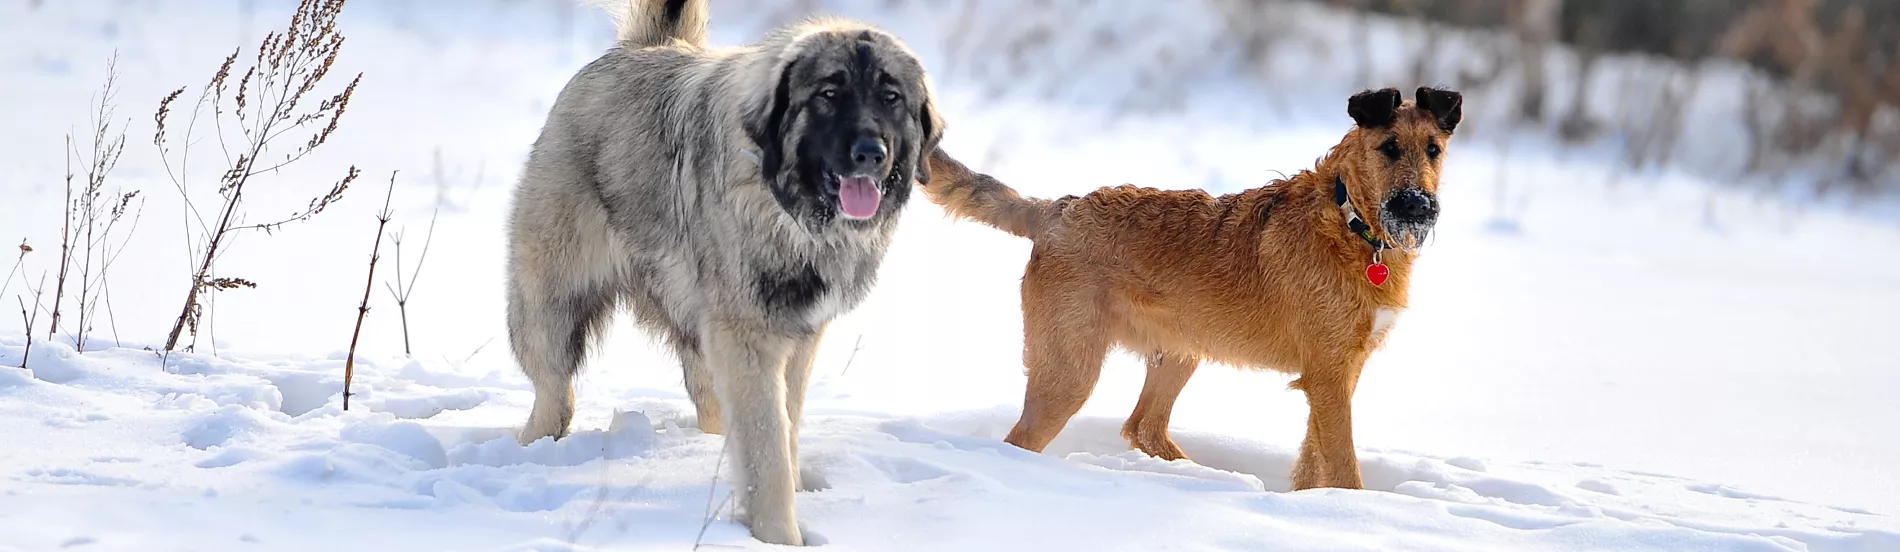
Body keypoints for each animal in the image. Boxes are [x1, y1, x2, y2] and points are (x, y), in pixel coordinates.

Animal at [927, 87, 1459, 493]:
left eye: (1433, 149)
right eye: (1388, 147)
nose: (1417, 205)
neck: (1352, 221)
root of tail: (1057, 209)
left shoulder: (1338, 371)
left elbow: (1314, 457)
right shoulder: (1327, 375)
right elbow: (1343, 463)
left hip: (1179, 353)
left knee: (1143, 426)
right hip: (1069, 370)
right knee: (1026, 440)